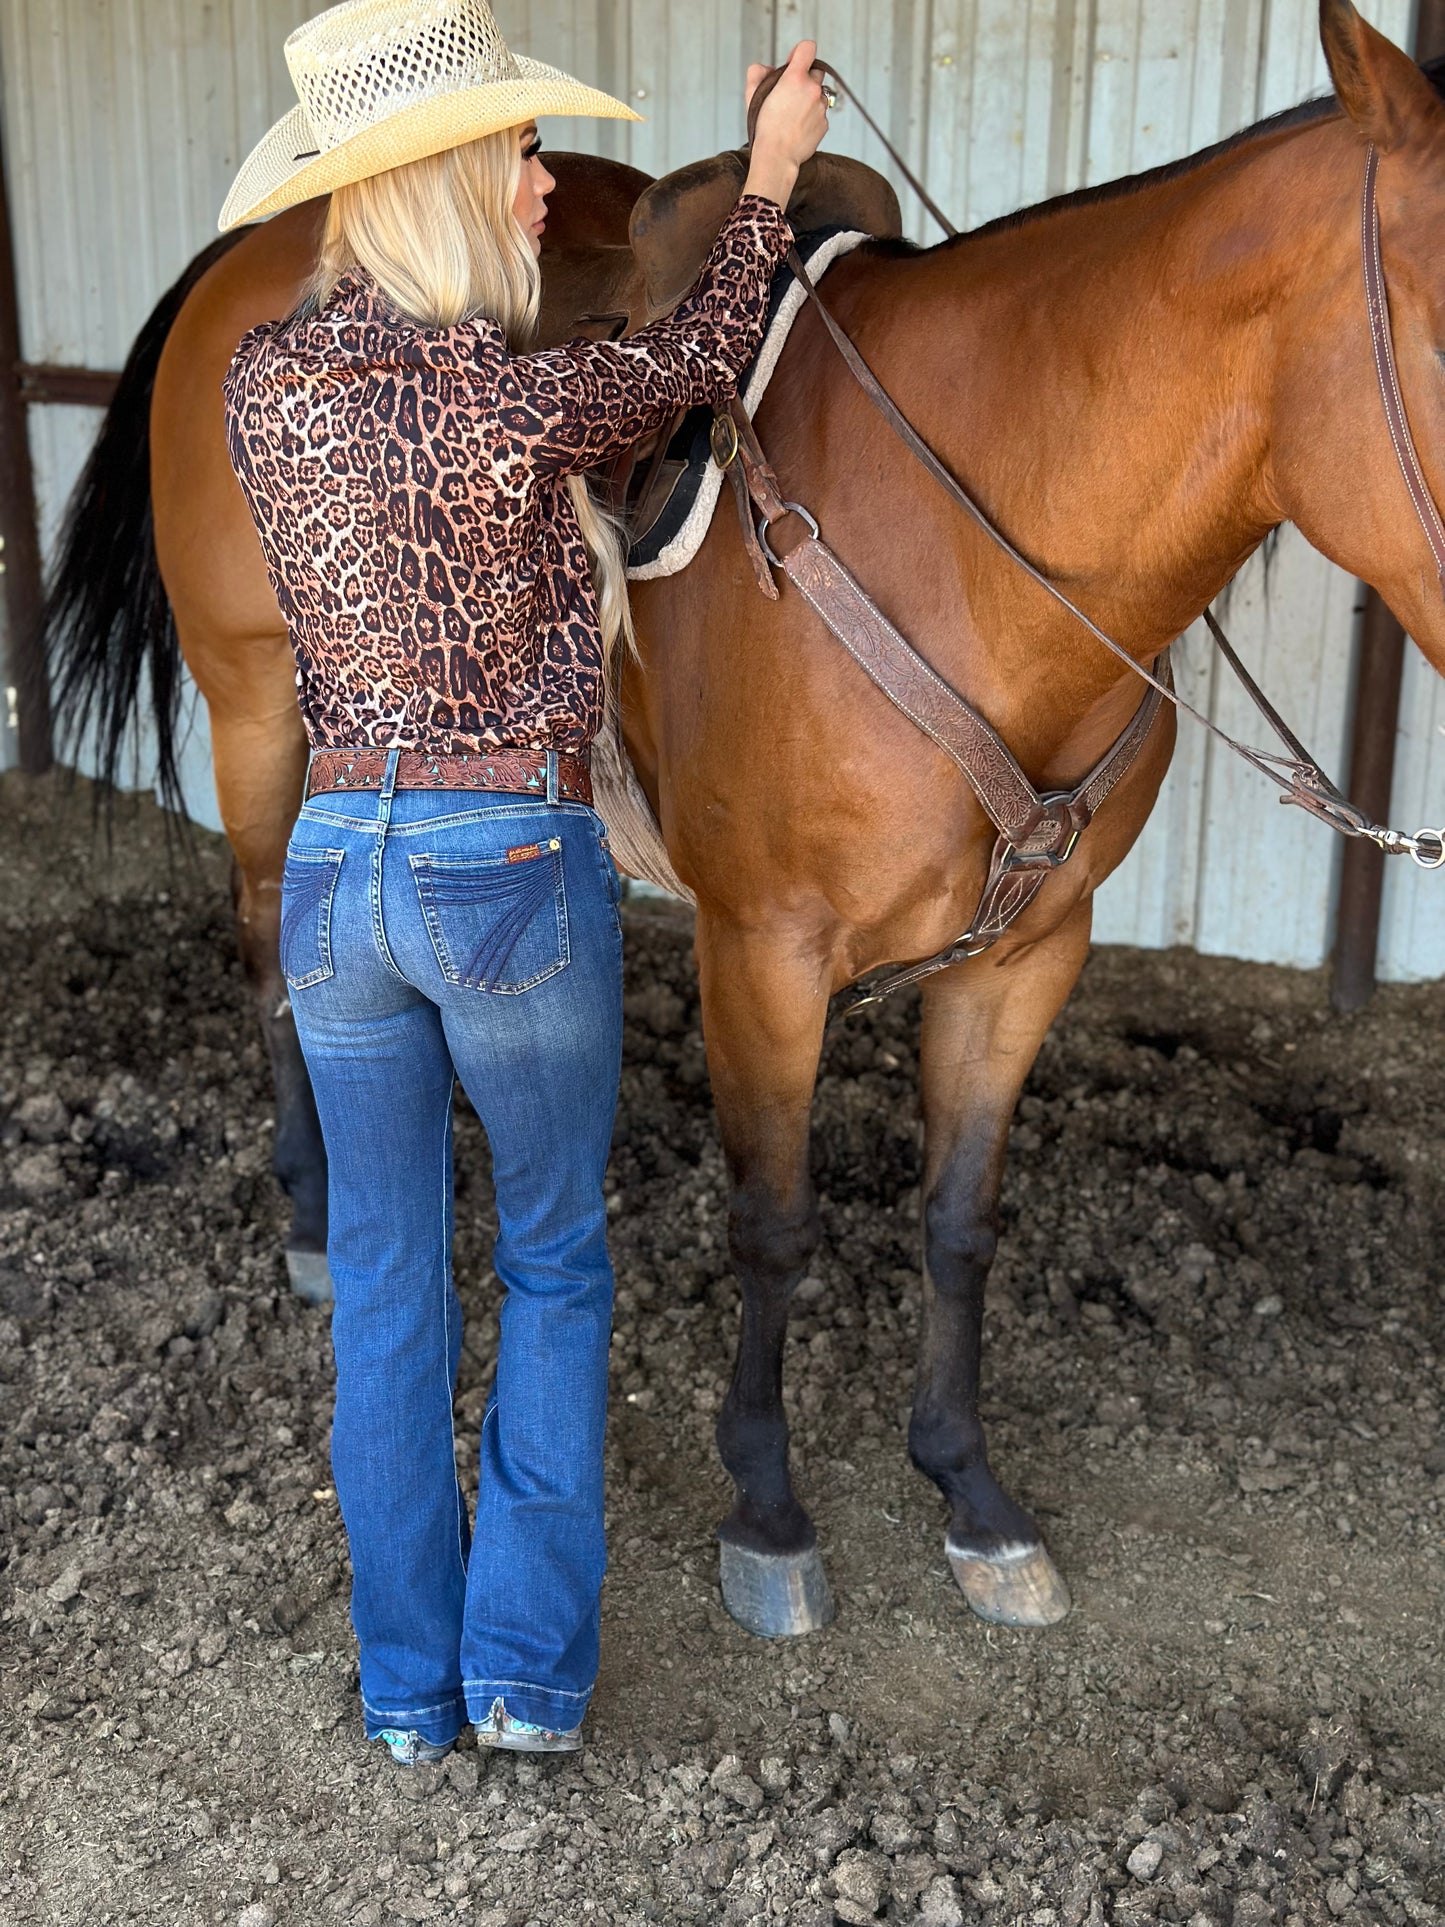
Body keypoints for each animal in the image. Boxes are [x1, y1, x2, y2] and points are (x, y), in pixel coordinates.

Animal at [42, 3, 1445, 1641]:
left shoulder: (1026, 956)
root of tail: (247, 264)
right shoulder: (765, 955)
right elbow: (773, 1224)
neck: (972, 550)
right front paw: (767, 1508)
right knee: (275, 946)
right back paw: (320, 1218)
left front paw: (968, 1491)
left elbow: (958, 1218)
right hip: (266, 714)